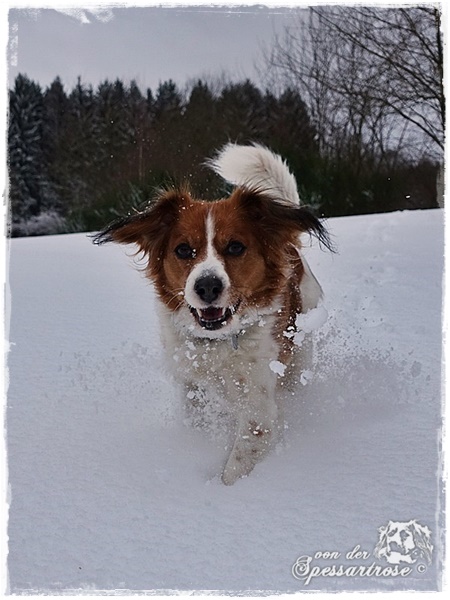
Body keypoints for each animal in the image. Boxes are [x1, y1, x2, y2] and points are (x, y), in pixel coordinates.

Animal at [93, 144, 332, 482]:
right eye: (183, 250)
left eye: (235, 247)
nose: (207, 286)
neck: (218, 344)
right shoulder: (192, 388)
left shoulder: (258, 409)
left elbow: (238, 462)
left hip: (298, 354)